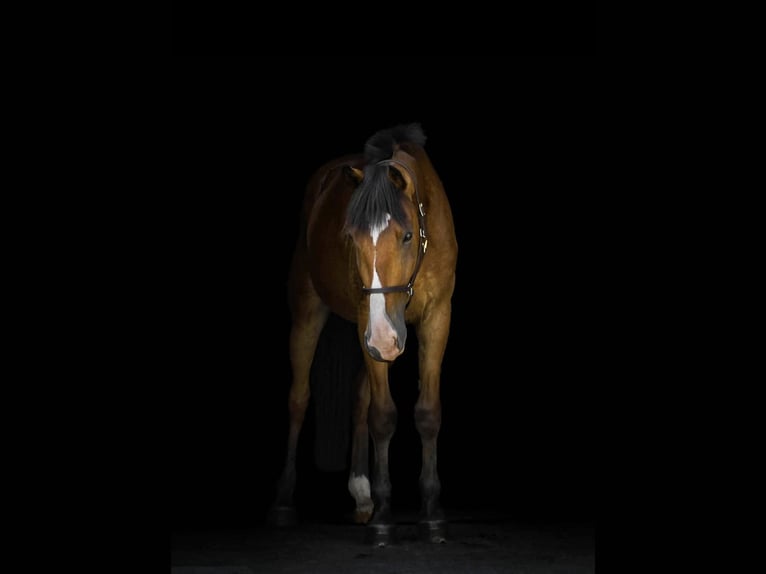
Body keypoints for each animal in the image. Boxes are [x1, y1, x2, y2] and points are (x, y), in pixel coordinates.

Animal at [271, 123, 457, 545]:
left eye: (407, 236)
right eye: (351, 238)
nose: (386, 340)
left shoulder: (438, 318)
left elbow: (428, 413)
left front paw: (432, 516)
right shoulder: (366, 323)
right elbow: (383, 416)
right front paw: (385, 520)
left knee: (358, 399)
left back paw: (361, 495)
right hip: (311, 314)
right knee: (298, 399)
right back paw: (286, 503)